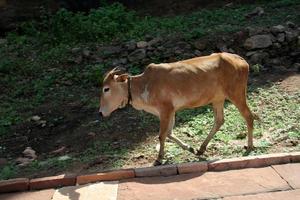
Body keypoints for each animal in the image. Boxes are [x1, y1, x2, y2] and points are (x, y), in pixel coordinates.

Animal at [99, 52, 258, 165]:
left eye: (106, 89)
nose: (100, 112)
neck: (144, 84)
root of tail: (241, 60)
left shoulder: (166, 110)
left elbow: (162, 135)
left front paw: (159, 159)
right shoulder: (171, 112)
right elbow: (169, 133)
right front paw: (190, 148)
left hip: (236, 94)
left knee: (248, 116)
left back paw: (249, 146)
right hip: (217, 99)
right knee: (219, 120)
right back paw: (201, 149)